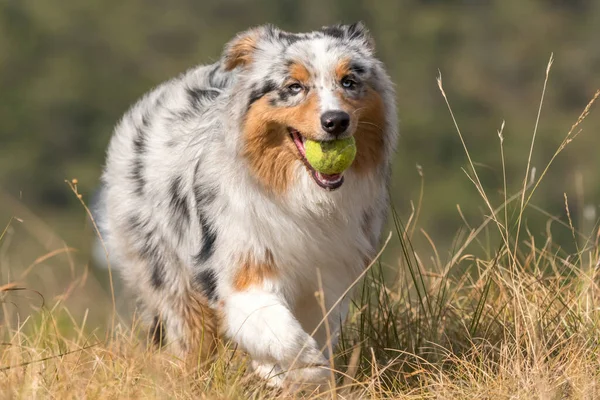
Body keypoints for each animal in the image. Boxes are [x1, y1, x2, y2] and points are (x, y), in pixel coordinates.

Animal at [97, 22, 398, 388]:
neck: (305, 199)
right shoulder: (241, 269)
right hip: (167, 271)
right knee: (192, 339)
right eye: (294, 87)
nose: (336, 120)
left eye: (349, 82)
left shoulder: (328, 277)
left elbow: (312, 329)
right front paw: (301, 368)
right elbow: (280, 330)